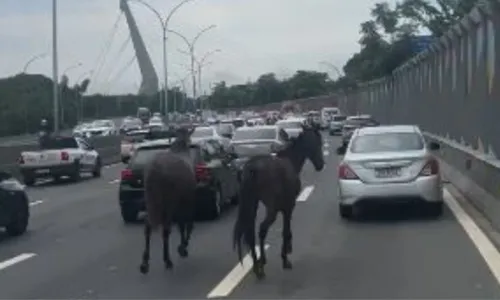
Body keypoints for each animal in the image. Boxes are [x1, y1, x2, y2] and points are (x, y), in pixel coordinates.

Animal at [141, 126, 197, 274]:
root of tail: (154, 172)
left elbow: (182, 224)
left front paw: (182, 246)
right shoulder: (187, 199)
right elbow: (187, 223)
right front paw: (183, 247)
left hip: (151, 201)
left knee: (148, 225)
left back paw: (144, 263)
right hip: (168, 202)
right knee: (166, 229)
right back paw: (167, 260)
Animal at [233, 123, 324, 278]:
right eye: (318, 143)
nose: (321, 165)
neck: (291, 160)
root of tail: (252, 168)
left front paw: (287, 250)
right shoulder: (289, 206)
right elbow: (286, 231)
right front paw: (285, 258)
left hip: (252, 204)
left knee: (250, 232)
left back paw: (256, 265)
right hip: (271, 208)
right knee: (262, 229)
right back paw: (262, 264)